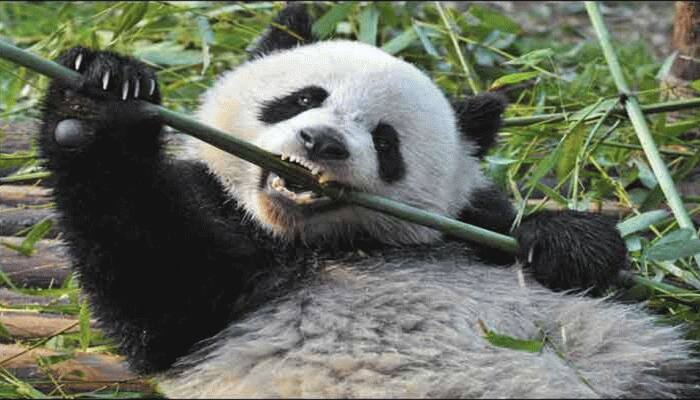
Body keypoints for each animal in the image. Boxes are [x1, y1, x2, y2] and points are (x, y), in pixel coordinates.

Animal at [37, 3, 699, 398]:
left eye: (385, 141)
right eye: (302, 99)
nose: (321, 142)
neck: (322, 245)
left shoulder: (463, 228)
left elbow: (578, 263)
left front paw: (565, 243)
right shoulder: (213, 262)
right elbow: (156, 282)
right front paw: (100, 95)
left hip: (639, 367)